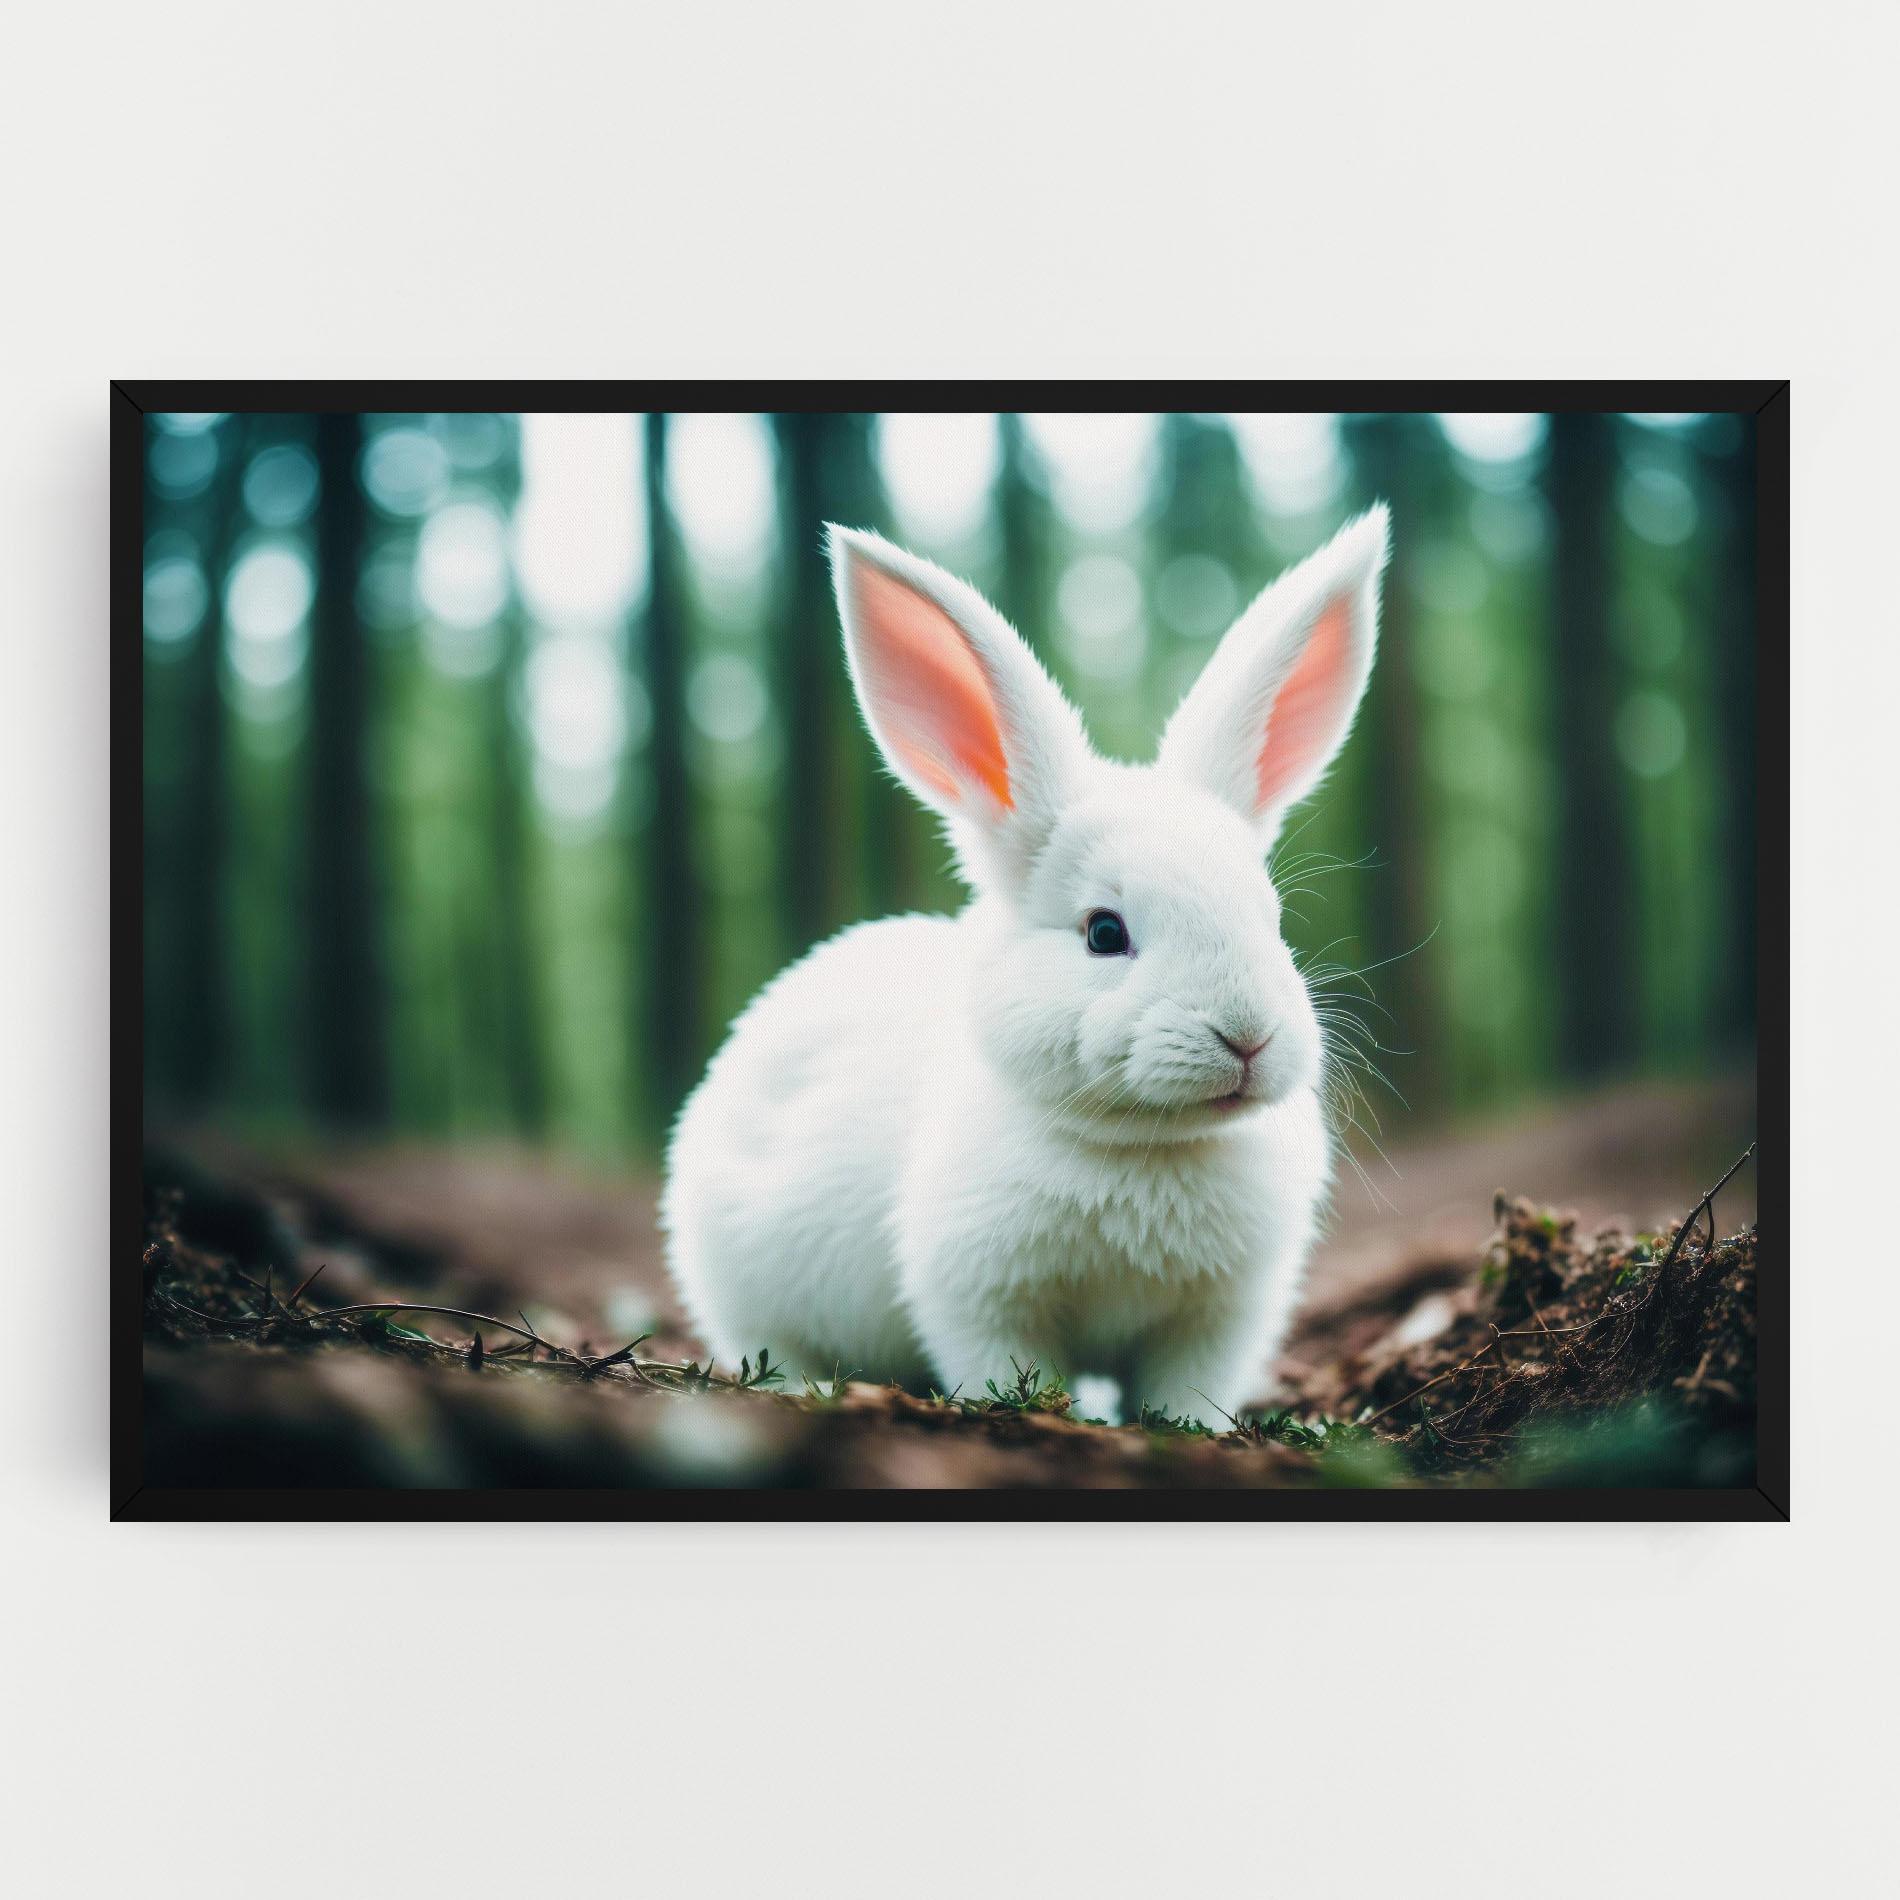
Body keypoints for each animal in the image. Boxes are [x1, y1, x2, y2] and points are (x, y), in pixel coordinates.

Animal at [662, 503, 1389, 1427]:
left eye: (1273, 917)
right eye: (1104, 933)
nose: (1248, 1035)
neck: (1144, 1147)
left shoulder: (1218, 1317)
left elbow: (1185, 1389)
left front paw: (1185, 1429)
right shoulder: (979, 1297)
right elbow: (1005, 1363)